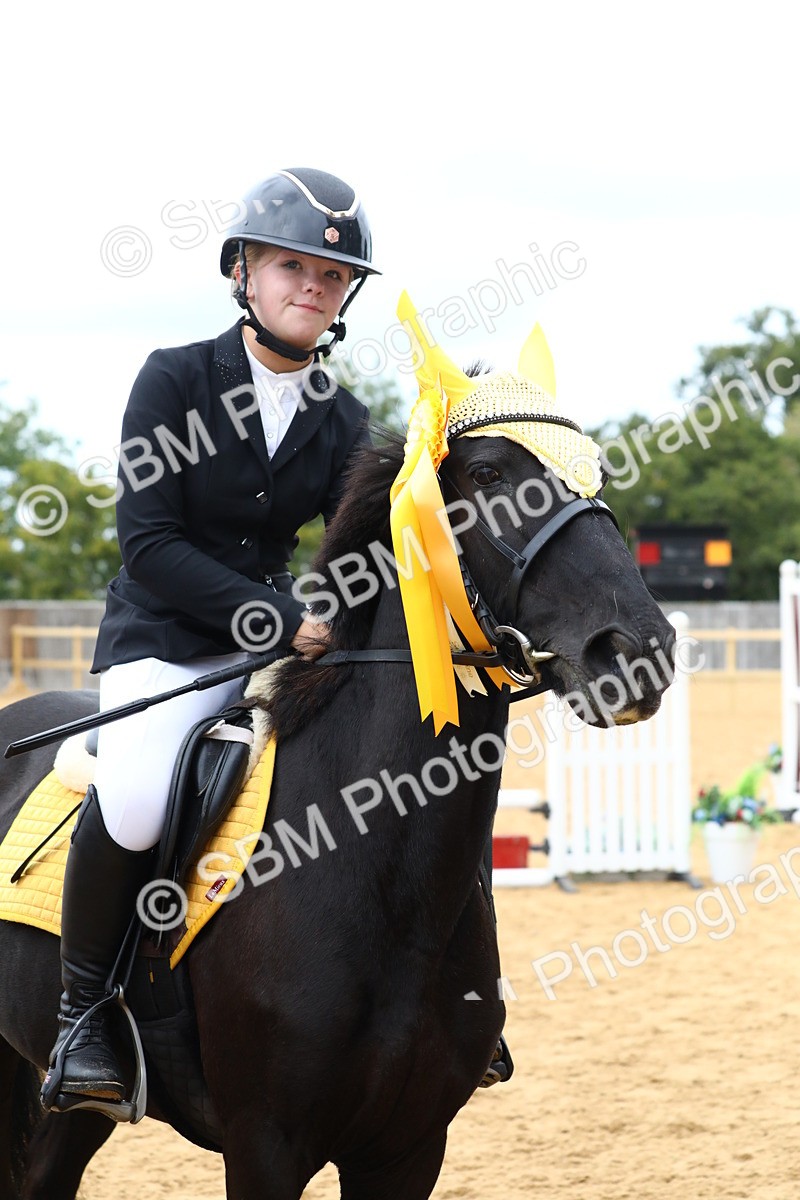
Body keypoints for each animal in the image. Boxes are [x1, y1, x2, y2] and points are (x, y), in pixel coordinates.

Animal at [0, 417, 677, 1199]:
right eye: (487, 474)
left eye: (598, 472)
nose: (638, 648)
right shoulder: (264, 1145)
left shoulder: (408, 1150)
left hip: (80, 1114)